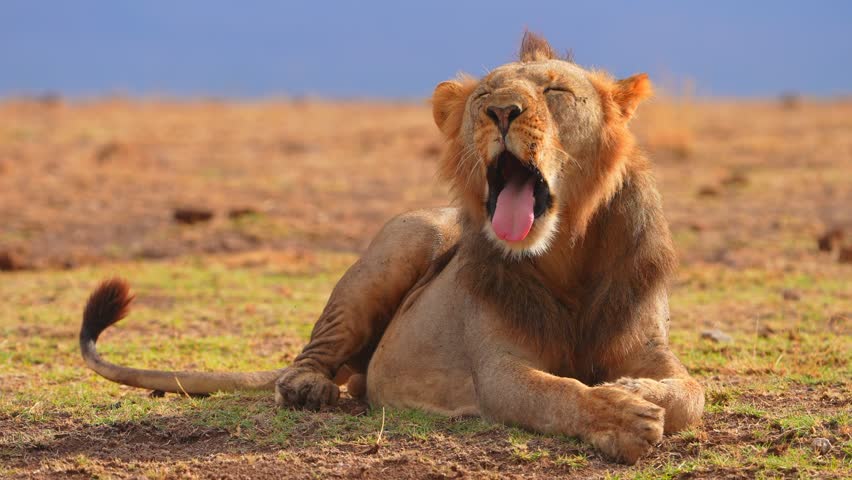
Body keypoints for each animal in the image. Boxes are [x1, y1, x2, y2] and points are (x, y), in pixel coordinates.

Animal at [80, 33, 704, 464]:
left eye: (555, 91)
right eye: (484, 94)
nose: (500, 111)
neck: (565, 256)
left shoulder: (650, 343)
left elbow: (691, 389)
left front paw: (634, 389)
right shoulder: (498, 372)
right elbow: (561, 392)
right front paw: (622, 415)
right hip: (410, 237)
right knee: (310, 356)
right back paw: (308, 388)